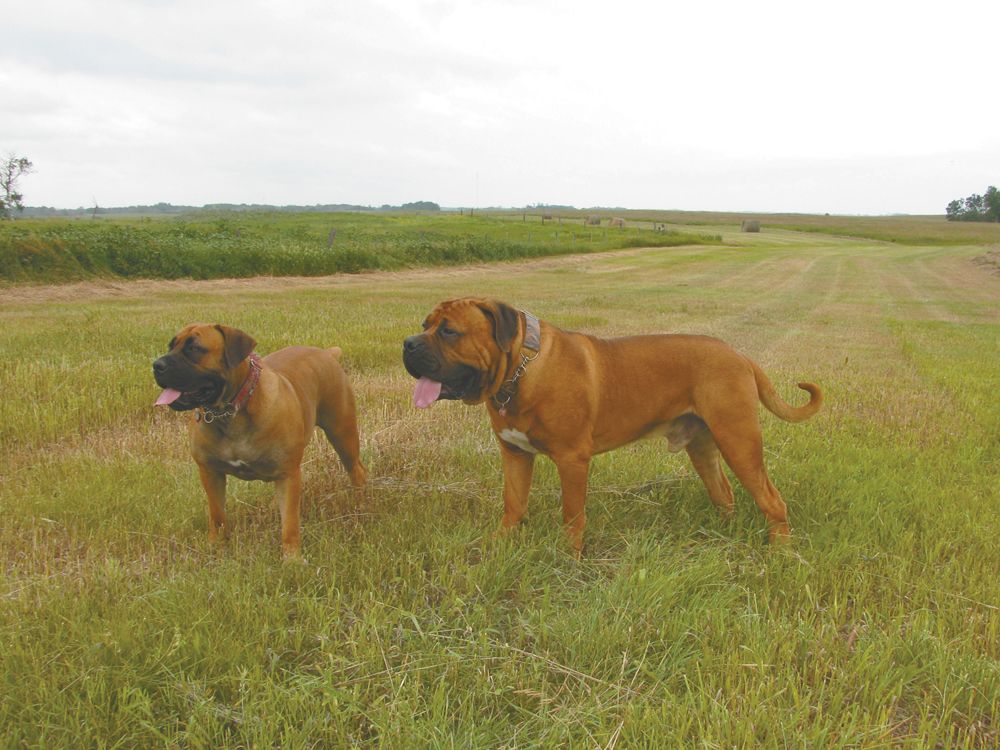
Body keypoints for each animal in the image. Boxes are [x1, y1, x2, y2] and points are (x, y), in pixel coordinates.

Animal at [158, 326, 370, 560]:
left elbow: (290, 523)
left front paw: (292, 560)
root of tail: (326, 353)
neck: (231, 411)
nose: (157, 365)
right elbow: (217, 515)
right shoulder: (210, 472)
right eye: (170, 346)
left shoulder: (288, 474)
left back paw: (360, 504)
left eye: (195, 348)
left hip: (342, 434)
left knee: (357, 470)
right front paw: (216, 546)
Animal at [402, 298, 824, 552]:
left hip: (739, 440)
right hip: (704, 447)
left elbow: (572, 513)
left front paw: (569, 554)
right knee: (724, 493)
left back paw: (781, 550)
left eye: (449, 331)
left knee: (771, 499)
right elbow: (514, 502)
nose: (407, 343)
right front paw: (501, 541)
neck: (520, 369)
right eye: (425, 324)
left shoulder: (572, 459)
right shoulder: (515, 454)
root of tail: (740, 355)